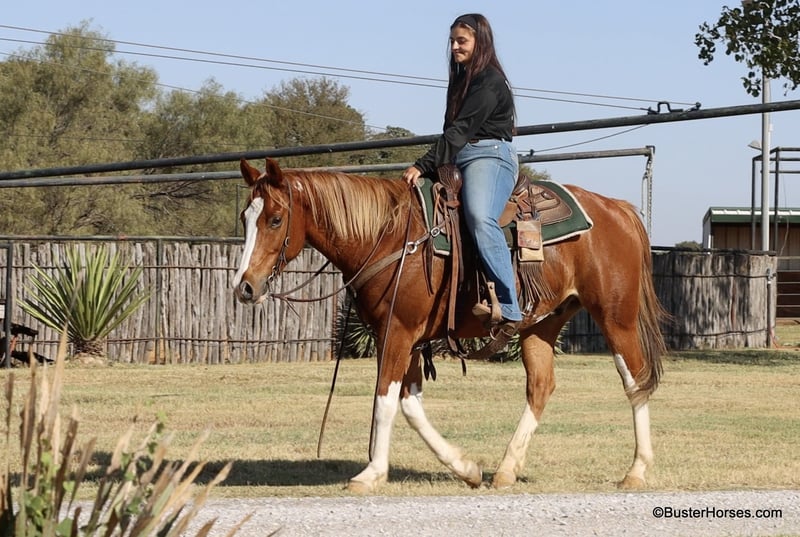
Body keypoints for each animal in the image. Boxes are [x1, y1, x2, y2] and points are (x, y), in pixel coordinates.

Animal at [233, 157, 667, 493]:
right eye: (244, 218)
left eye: (275, 219)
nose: (245, 286)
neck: (391, 236)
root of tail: (618, 209)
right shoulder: (404, 337)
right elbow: (410, 404)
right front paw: (467, 468)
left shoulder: (398, 333)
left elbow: (386, 400)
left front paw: (372, 472)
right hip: (541, 325)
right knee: (541, 387)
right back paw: (505, 470)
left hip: (616, 317)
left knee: (635, 380)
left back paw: (636, 470)